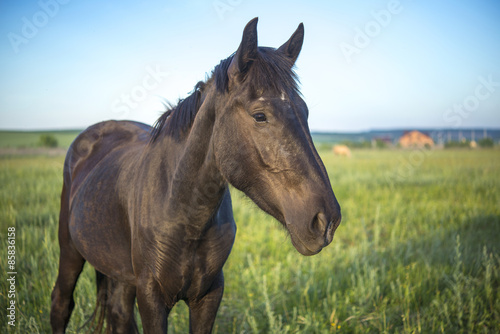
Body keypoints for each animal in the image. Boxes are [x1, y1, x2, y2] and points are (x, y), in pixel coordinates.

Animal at [50, 18, 342, 334]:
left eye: (305, 112)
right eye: (260, 115)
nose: (327, 220)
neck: (182, 211)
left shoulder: (209, 294)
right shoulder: (151, 297)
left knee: (118, 313)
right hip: (70, 250)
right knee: (61, 304)